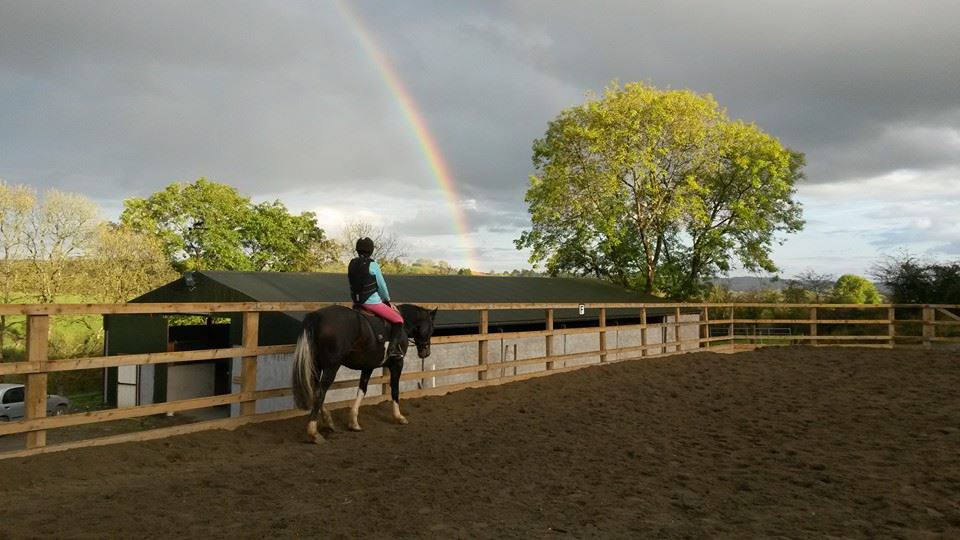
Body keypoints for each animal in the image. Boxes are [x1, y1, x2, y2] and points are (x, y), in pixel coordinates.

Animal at [291, 303, 437, 443]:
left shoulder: (368, 366)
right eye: (431, 328)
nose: (426, 352)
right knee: (321, 392)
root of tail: (317, 315)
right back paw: (314, 433)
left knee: (315, 389)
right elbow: (395, 389)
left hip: (316, 365)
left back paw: (328, 421)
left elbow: (362, 389)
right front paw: (399, 416)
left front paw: (354, 422)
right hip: (332, 366)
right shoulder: (397, 363)